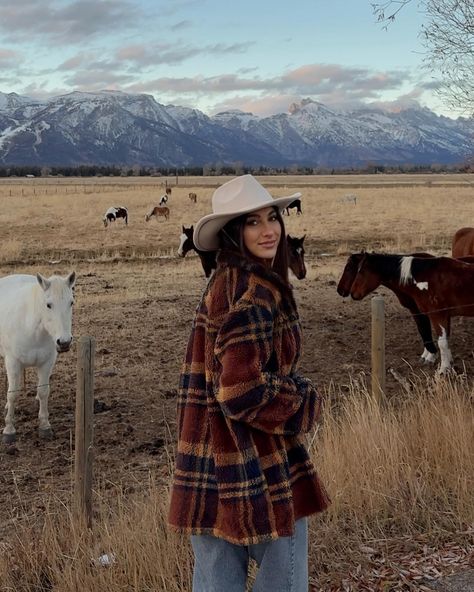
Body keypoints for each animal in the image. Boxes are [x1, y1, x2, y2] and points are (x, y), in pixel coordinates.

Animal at [0, 270, 76, 442]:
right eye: (48, 305)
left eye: (71, 303)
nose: (64, 342)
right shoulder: (12, 362)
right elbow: (12, 394)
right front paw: (9, 430)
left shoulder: (47, 363)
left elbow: (43, 391)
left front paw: (44, 426)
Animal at [342, 252, 474, 372]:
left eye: (360, 272)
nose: (352, 293)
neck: (426, 278)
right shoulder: (440, 315)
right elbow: (439, 338)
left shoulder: (437, 315)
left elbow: (441, 342)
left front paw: (443, 369)